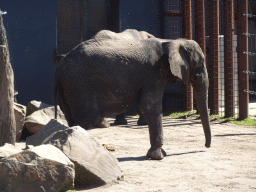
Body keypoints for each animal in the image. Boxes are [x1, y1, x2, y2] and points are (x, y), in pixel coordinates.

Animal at [53, 29, 210, 160]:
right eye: (200, 63)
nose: (206, 146)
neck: (172, 41)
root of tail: (60, 64)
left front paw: (160, 154)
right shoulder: (153, 74)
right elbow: (150, 106)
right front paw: (158, 156)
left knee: (71, 119)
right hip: (79, 85)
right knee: (86, 119)